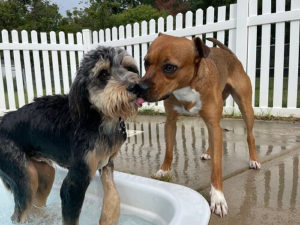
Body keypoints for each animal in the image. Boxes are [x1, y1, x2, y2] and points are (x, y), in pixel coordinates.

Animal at [0, 46, 144, 225]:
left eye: (129, 68)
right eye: (103, 74)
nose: (136, 87)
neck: (99, 119)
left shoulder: (106, 163)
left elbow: (113, 196)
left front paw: (108, 218)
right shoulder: (75, 182)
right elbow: (71, 216)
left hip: (44, 172)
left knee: (36, 204)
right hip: (24, 176)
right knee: (18, 214)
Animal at [137, 34, 262, 217]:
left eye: (169, 67)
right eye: (146, 62)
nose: (138, 88)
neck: (186, 87)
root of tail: (231, 55)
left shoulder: (213, 124)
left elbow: (217, 167)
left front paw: (218, 197)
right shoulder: (171, 122)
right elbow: (169, 151)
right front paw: (164, 170)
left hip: (245, 108)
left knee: (250, 136)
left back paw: (254, 160)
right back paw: (208, 152)